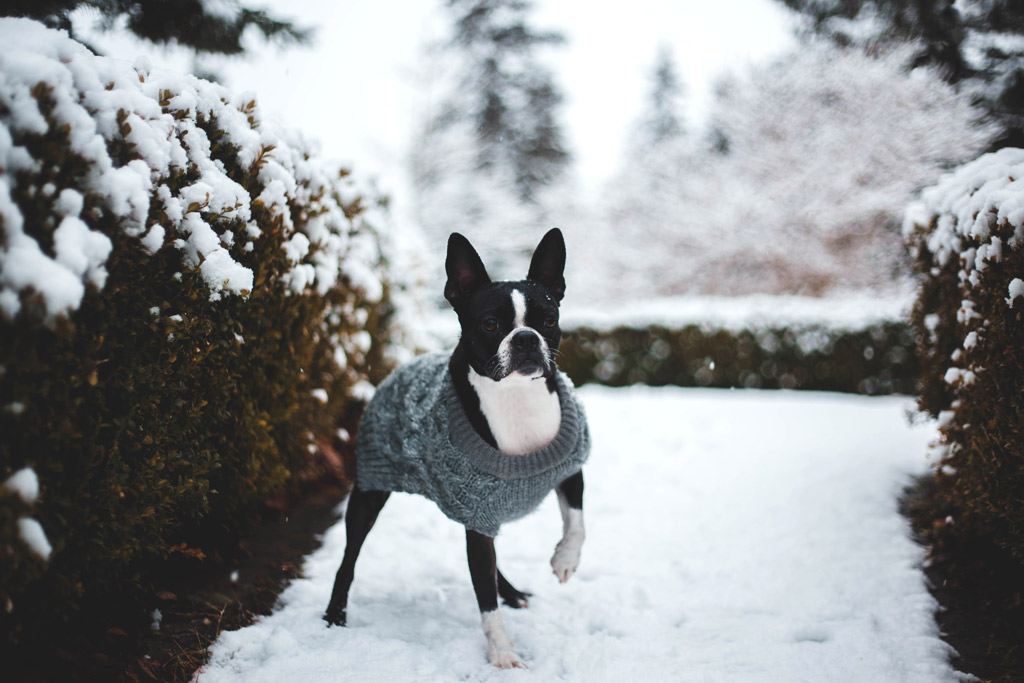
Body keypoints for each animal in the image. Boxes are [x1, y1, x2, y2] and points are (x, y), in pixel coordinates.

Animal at [323, 229, 589, 667]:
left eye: (549, 320)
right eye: (490, 323)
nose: (526, 338)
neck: (515, 397)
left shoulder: (569, 466)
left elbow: (577, 524)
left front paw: (564, 561)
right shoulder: (477, 513)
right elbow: (484, 600)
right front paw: (502, 653)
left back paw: (512, 592)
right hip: (369, 492)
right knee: (349, 557)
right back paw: (334, 613)